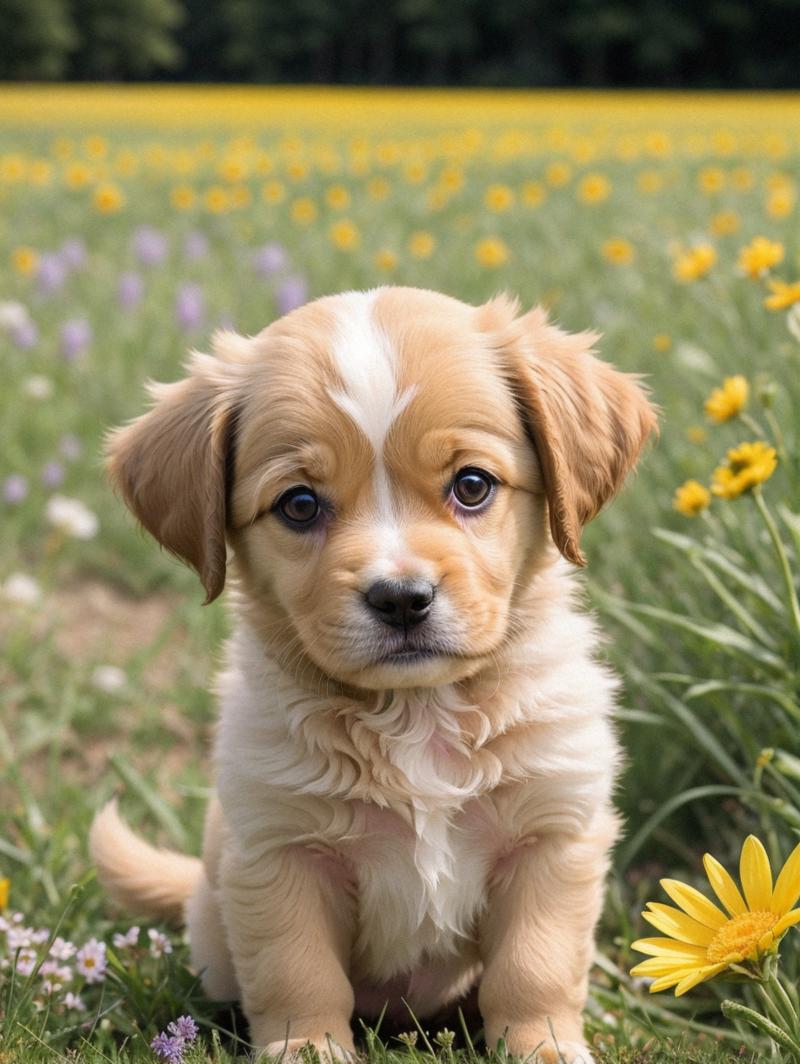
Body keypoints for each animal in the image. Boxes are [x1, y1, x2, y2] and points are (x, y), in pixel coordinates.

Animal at [92, 287, 655, 1059]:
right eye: (300, 504)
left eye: (472, 486)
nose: (401, 598)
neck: (419, 713)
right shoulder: (281, 853)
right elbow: (298, 977)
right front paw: (307, 1050)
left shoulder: (553, 834)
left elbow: (534, 969)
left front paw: (544, 1046)